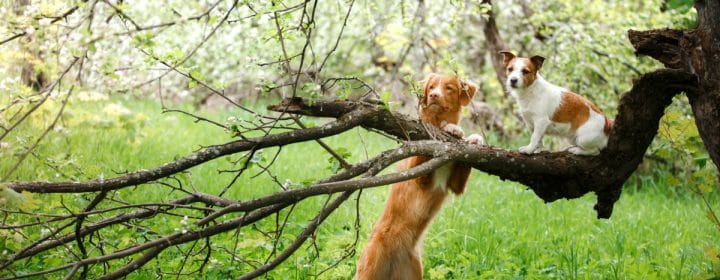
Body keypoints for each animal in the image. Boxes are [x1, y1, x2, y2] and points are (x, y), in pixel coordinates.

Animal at [354, 74, 484, 280]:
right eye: (431, 87)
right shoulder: (418, 177)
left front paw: (472, 138)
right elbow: (423, 145)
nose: (433, 95)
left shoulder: (455, 185)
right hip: (369, 270)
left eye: (449, 88)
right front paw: (451, 128)